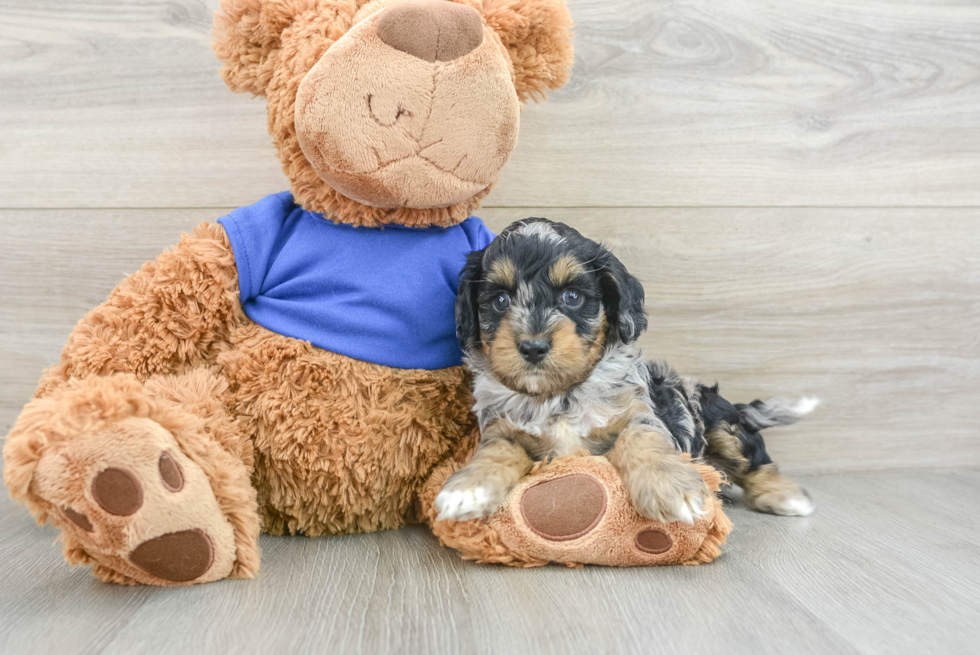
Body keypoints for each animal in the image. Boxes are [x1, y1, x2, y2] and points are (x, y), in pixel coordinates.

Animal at [434, 218, 812, 524]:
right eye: (500, 300)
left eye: (572, 297)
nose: (533, 347)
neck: (559, 395)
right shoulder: (505, 429)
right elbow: (496, 451)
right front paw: (468, 489)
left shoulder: (641, 414)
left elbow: (641, 436)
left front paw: (670, 486)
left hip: (721, 423)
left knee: (756, 460)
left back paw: (785, 497)